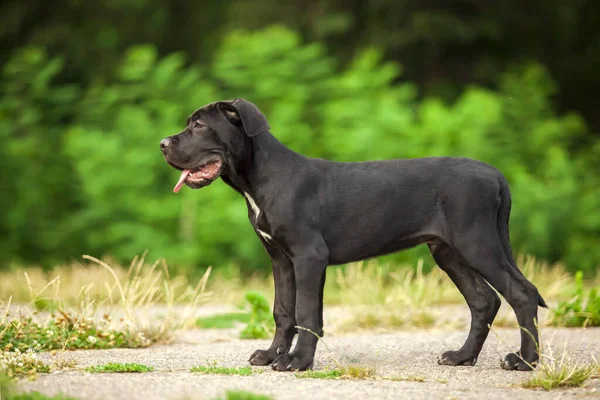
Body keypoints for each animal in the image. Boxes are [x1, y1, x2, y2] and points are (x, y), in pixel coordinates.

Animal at [161, 98, 548, 374]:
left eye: (199, 125)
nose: (163, 143)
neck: (260, 179)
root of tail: (495, 174)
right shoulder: (281, 259)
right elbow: (283, 311)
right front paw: (272, 355)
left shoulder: (309, 256)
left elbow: (306, 313)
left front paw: (297, 362)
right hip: (448, 251)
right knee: (484, 301)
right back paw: (462, 356)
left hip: (476, 241)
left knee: (522, 293)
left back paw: (524, 361)